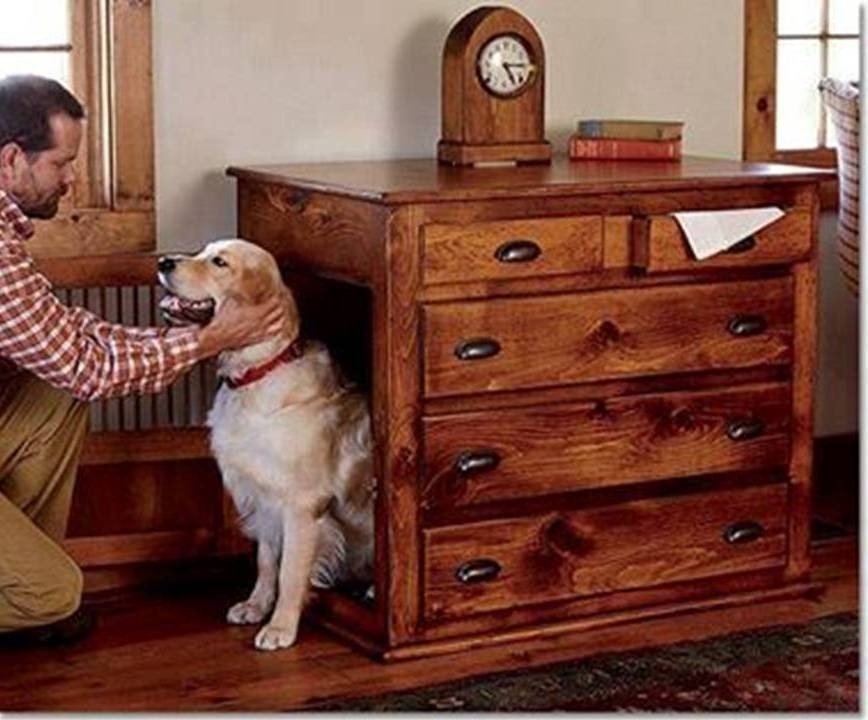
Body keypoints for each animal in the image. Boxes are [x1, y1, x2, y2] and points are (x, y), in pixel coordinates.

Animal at [158, 240, 374, 652]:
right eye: (204, 250)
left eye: (219, 262)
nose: (163, 262)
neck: (255, 375)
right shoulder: (262, 497)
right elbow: (266, 560)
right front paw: (256, 606)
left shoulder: (302, 504)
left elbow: (290, 571)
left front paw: (281, 627)